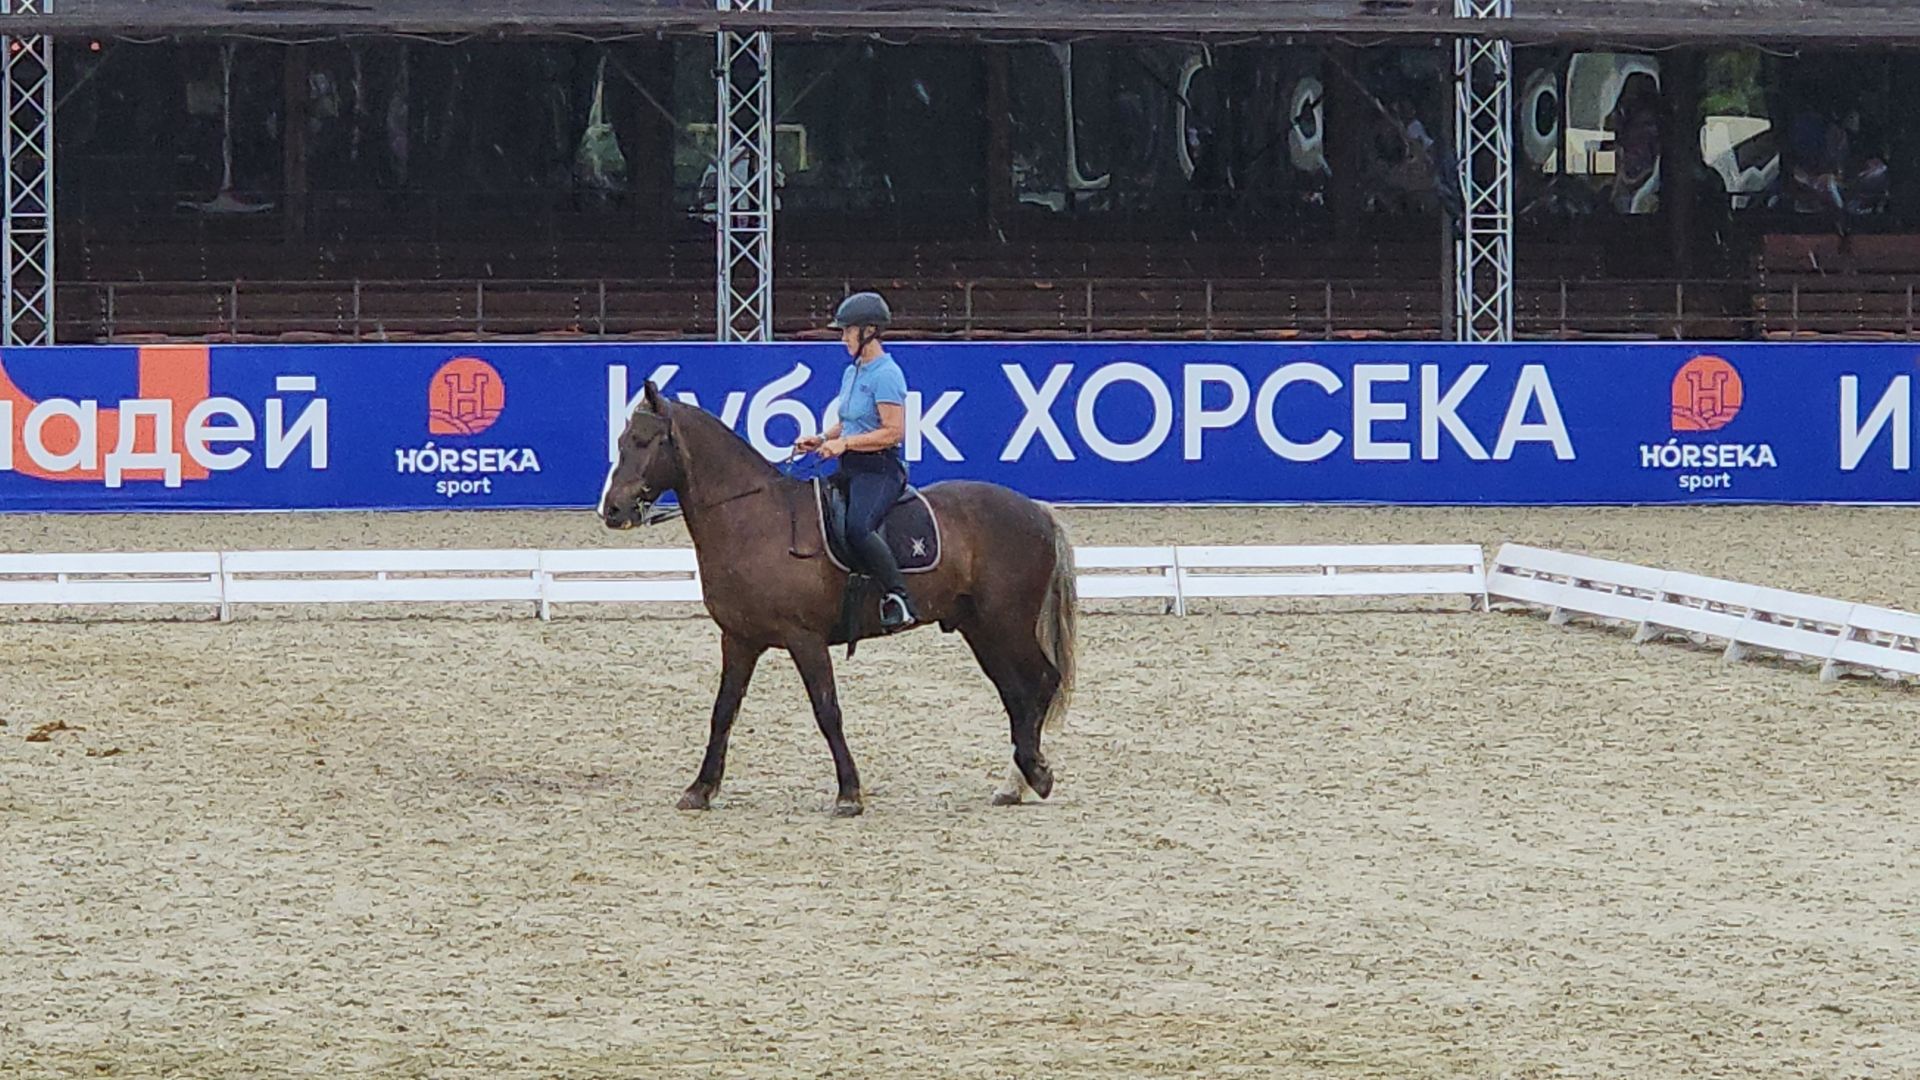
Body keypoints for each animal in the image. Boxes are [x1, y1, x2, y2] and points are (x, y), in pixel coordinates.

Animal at [598, 381, 1077, 817]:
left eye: (643, 441)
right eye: (621, 441)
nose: (613, 511)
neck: (753, 519)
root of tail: (1037, 509)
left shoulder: (804, 638)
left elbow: (827, 710)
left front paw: (849, 794)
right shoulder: (739, 639)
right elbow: (723, 711)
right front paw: (700, 790)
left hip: (1006, 623)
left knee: (1041, 683)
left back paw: (1036, 773)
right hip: (981, 629)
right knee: (1016, 695)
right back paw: (1015, 783)